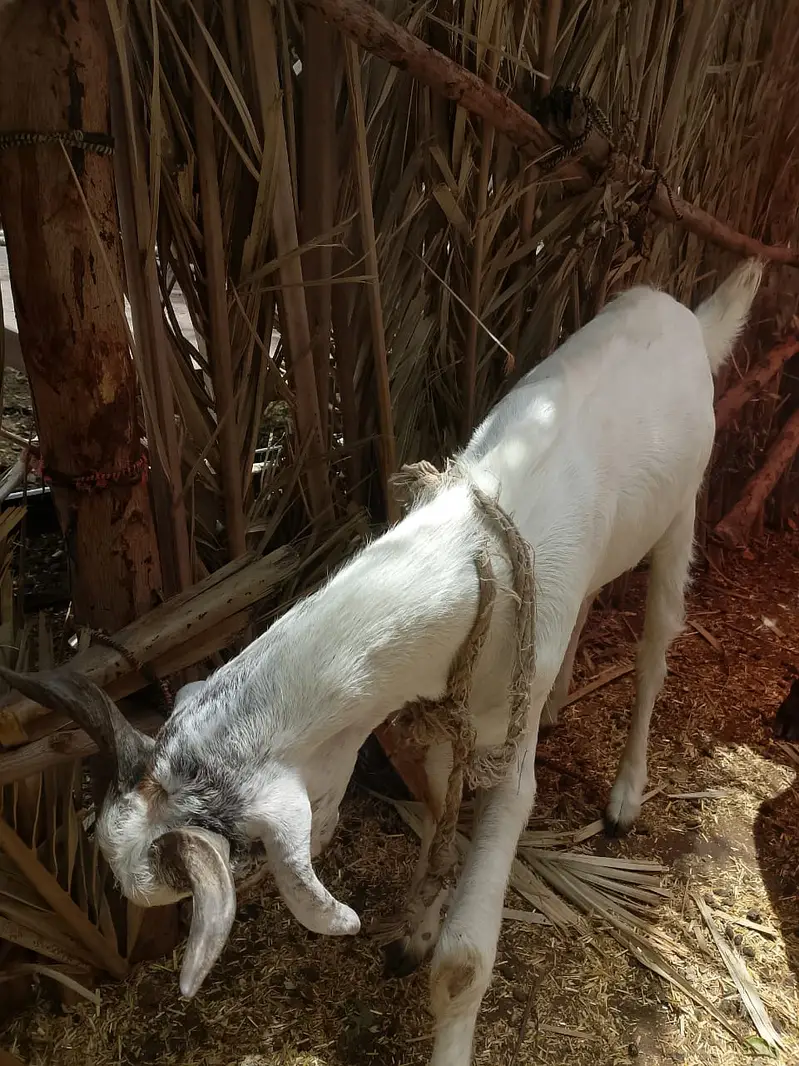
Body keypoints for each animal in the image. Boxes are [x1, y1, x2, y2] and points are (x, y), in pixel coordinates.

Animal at [0, 257, 762, 1066]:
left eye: (246, 849)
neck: (472, 555)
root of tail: (684, 315)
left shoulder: (505, 748)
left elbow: (466, 952)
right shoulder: (441, 707)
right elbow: (435, 809)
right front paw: (414, 932)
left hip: (684, 508)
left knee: (654, 647)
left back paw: (624, 796)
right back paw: (560, 703)